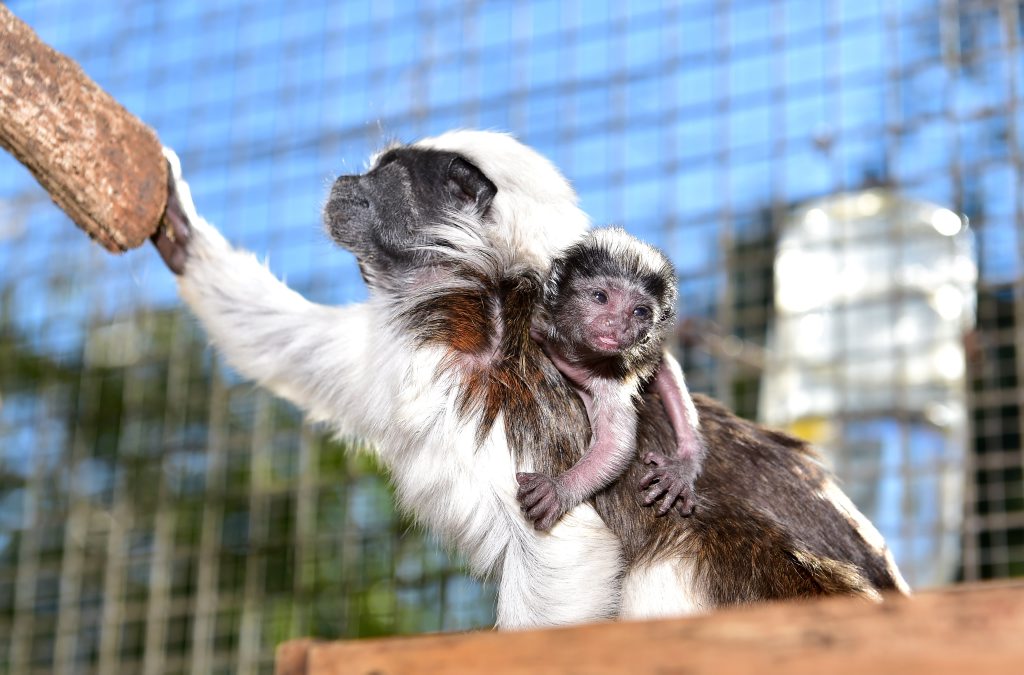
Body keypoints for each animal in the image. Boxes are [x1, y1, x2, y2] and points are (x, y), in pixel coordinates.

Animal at [516, 227, 707, 531]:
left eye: (639, 311)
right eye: (600, 297)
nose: (618, 325)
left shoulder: (613, 379)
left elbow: (616, 446)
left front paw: (558, 490)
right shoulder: (540, 316)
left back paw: (683, 466)